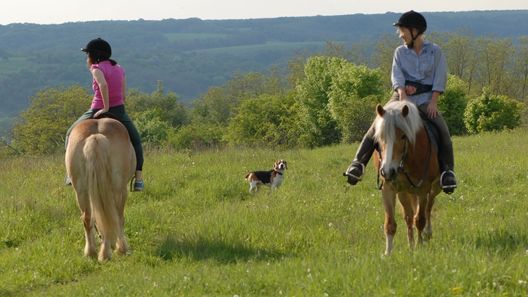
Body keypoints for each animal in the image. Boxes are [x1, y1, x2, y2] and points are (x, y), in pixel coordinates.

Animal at [64, 117, 136, 260]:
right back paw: (113, 251)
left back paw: (91, 252)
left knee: (87, 218)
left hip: (81, 190)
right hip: (118, 189)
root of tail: (96, 136)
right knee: (114, 216)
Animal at [372, 100, 442, 254]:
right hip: (404, 192)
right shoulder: (388, 188)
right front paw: (388, 253)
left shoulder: (423, 189)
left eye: (403, 136)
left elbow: (420, 219)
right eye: (381, 137)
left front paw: (420, 246)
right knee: (409, 216)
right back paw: (411, 243)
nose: (388, 171)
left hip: (435, 187)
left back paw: (427, 233)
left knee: (428, 207)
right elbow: (390, 224)